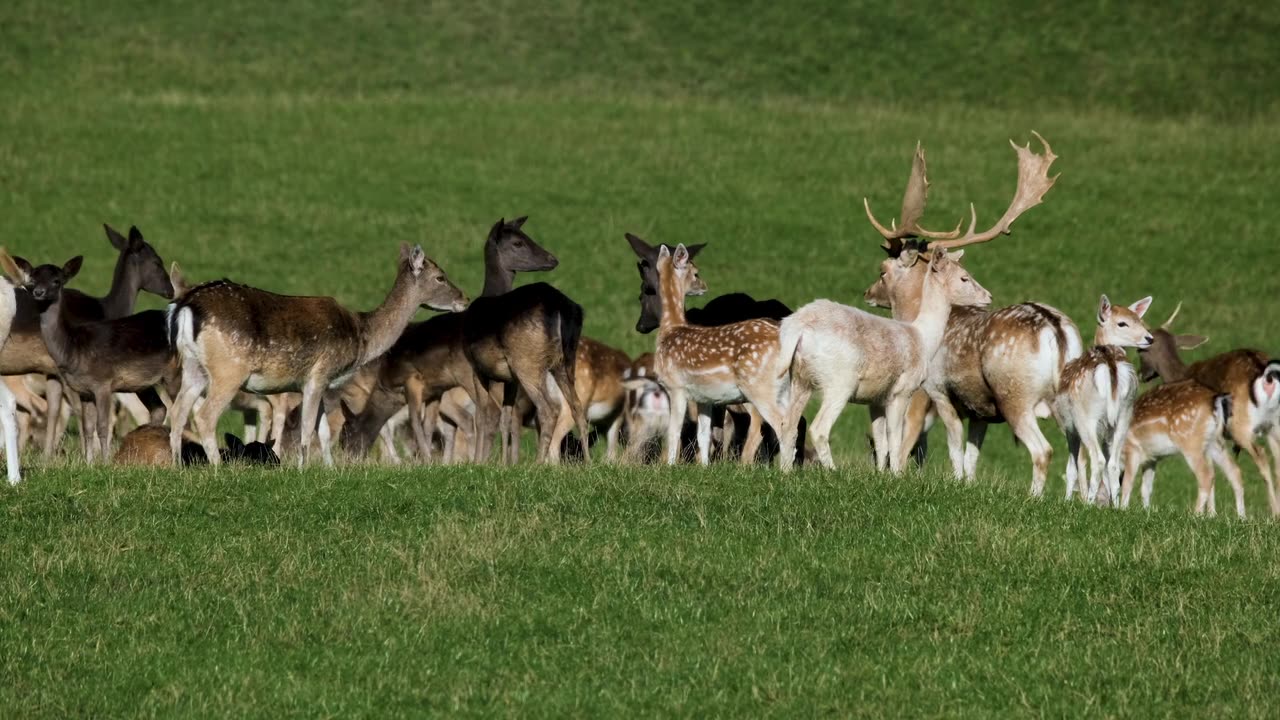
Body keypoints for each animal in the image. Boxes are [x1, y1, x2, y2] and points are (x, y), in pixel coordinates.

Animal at [167, 242, 468, 466]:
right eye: (440, 277)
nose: (464, 299)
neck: (361, 336)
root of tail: (185, 306)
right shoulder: (319, 373)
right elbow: (307, 428)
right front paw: (302, 469)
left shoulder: (321, 383)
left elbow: (322, 431)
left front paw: (329, 469)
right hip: (229, 369)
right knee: (204, 415)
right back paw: (218, 467)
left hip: (193, 367)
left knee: (178, 412)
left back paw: (177, 466)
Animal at [778, 248, 988, 471]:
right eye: (964, 277)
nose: (988, 296)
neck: (923, 338)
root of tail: (797, 327)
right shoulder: (902, 390)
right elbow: (895, 438)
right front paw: (896, 473)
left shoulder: (876, 398)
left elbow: (881, 441)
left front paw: (880, 473)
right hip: (840, 381)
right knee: (818, 428)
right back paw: (833, 471)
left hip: (799, 378)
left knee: (788, 425)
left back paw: (786, 472)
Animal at [855, 133, 1075, 491]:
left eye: (883, 271)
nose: (868, 293)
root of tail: (1055, 329)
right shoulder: (979, 410)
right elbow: (973, 455)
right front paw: (969, 484)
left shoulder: (938, 389)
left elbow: (953, 446)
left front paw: (954, 482)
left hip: (1016, 396)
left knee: (1043, 451)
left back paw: (1035, 496)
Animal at [1054, 294, 1157, 502]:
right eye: (1123, 323)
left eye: (1139, 320)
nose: (1149, 338)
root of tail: (1111, 366)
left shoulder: (1068, 426)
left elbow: (1072, 468)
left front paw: (1067, 500)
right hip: (1124, 414)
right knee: (1114, 464)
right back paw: (1115, 505)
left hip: (1086, 417)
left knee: (1099, 461)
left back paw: (1089, 503)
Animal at [1141, 304, 1280, 512]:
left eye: (1139, 351)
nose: (1142, 374)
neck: (1179, 374)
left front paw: (1209, 513)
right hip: (1273, 425)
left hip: (1240, 424)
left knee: (1262, 457)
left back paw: (1273, 512)